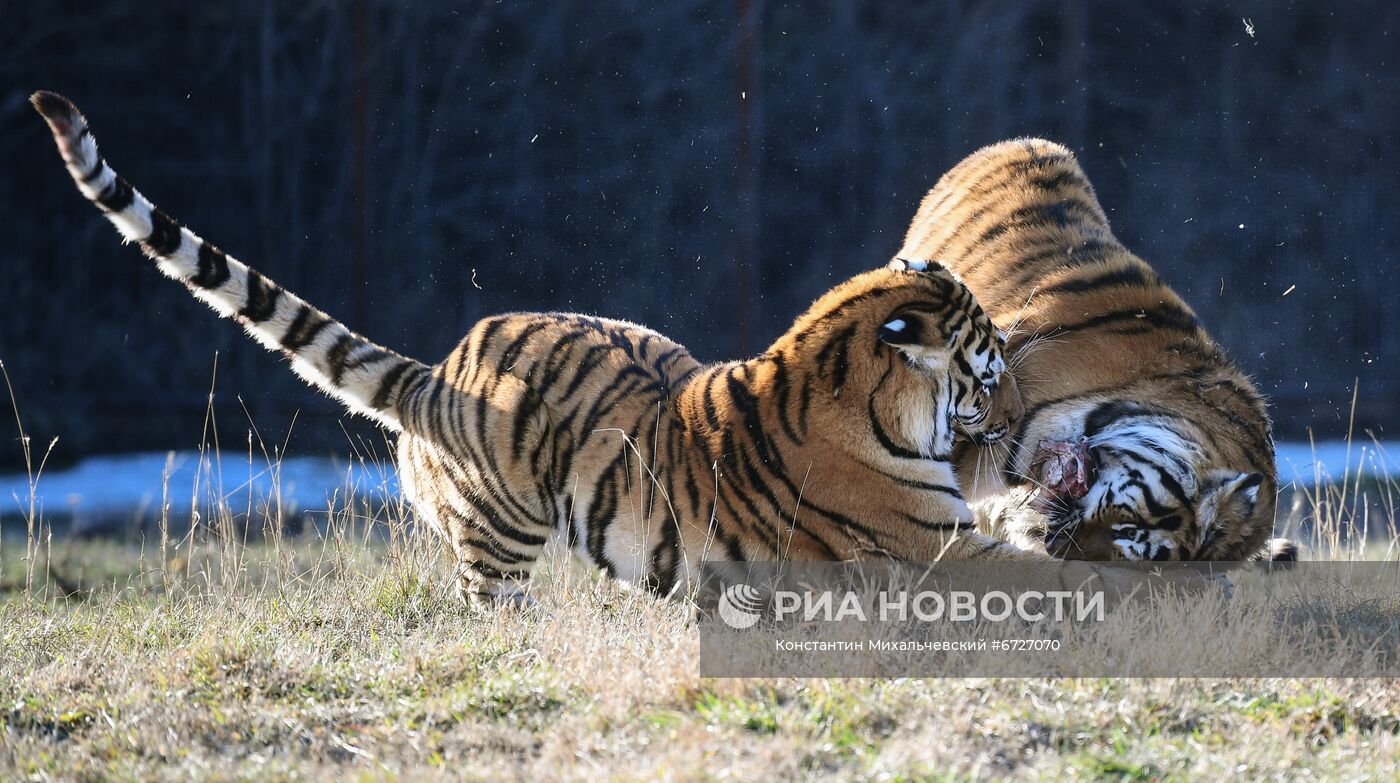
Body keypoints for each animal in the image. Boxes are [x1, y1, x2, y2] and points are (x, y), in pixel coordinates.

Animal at [30, 91, 1052, 607]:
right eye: (990, 368)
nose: (1016, 427)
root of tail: (439, 374)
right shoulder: (938, 546)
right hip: (498, 535)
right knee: (486, 604)